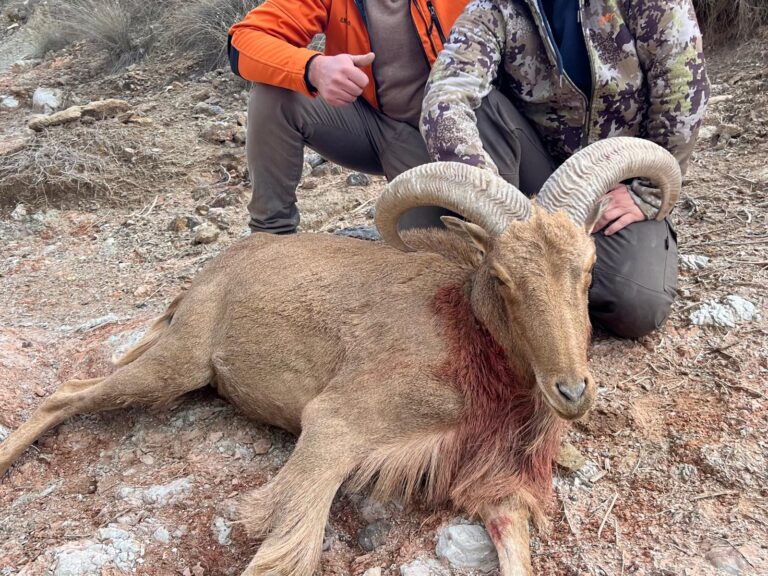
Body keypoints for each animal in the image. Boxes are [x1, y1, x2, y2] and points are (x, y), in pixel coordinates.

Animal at [0, 137, 680, 576]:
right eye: (502, 279)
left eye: (587, 268)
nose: (572, 391)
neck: (468, 336)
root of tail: (212, 269)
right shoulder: (338, 424)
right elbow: (285, 547)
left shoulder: (492, 482)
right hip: (178, 362)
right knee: (66, 394)